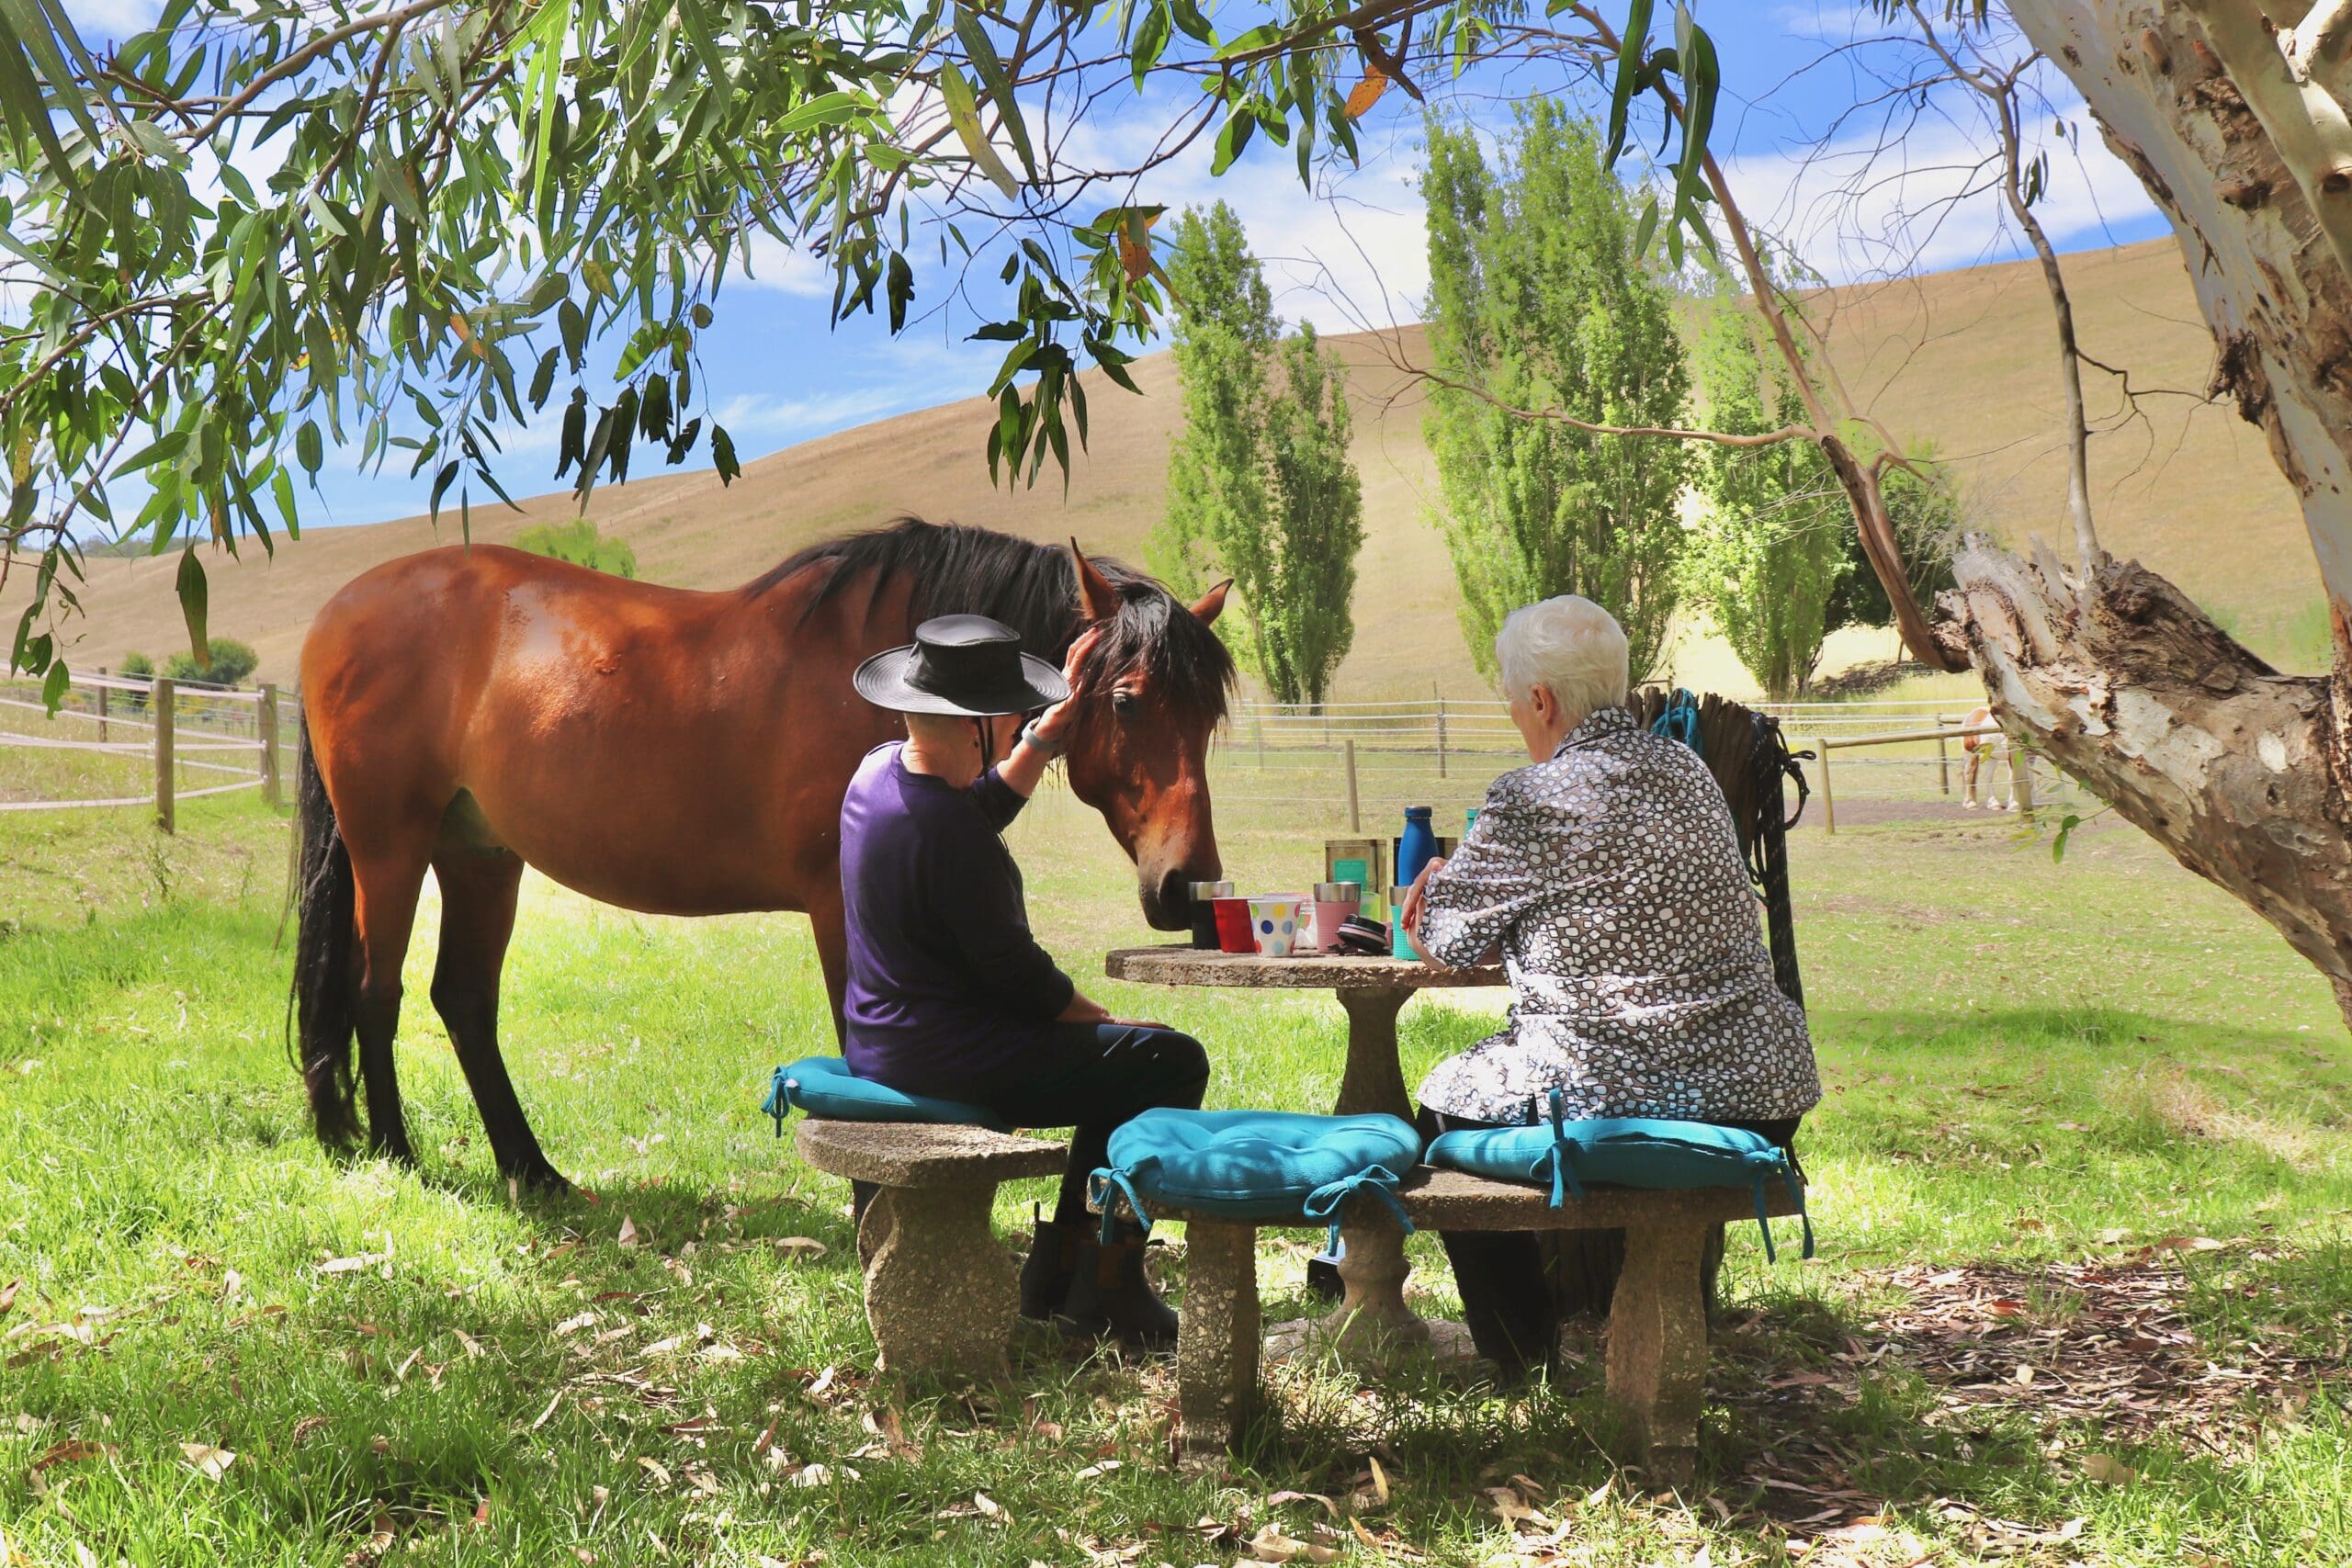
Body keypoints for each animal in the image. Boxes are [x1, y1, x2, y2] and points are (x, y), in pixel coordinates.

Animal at [288, 514, 1232, 1189]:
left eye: (1210, 712)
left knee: (463, 999)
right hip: (391, 848)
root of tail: (336, 611)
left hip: (480, 857)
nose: (1185, 884)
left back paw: (532, 1169)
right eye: (1126, 700)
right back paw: (399, 1151)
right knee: (376, 988)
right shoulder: (837, 907)